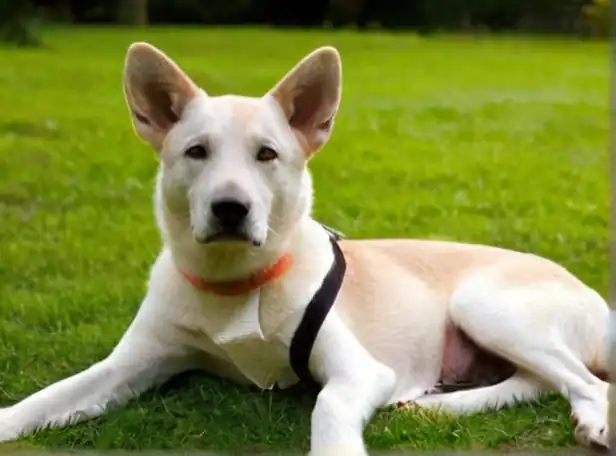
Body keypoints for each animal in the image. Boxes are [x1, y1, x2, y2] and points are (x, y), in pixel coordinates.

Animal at [0, 41, 608, 452]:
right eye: (196, 151)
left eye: (267, 154)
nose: (230, 208)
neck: (236, 284)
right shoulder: (128, 364)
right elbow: (49, 396)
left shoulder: (359, 372)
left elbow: (328, 404)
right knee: (534, 382)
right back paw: (440, 406)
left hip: (485, 305)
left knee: (582, 381)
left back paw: (596, 421)